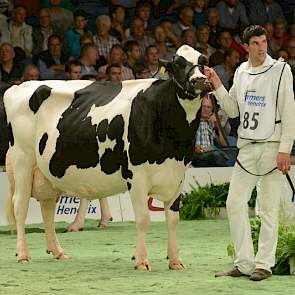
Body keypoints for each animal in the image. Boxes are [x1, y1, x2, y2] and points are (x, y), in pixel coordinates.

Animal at [5, 45, 213, 270]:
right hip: (22, 160)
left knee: (48, 207)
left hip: (46, 171)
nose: (199, 80)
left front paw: (175, 261)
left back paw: (58, 251)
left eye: (203, 62)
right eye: (177, 64)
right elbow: (143, 218)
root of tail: (19, 87)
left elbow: (173, 220)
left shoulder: (177, 175)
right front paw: (141, 261)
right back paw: (23, 254)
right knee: (20, 205)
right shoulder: (136, 177)